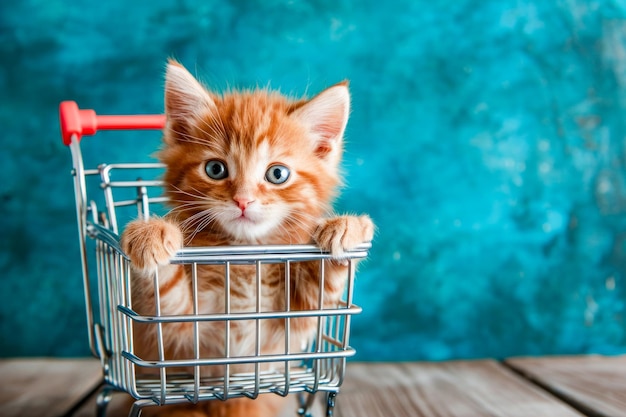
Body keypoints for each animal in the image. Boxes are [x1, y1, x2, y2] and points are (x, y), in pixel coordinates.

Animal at [120, 59, 372, 416]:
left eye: (277, 174)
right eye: (215, 169)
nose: (243, 200)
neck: (243, 259)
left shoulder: (287, 329)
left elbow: (322, 290)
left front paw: (347, 228)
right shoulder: (176, 337)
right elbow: (164, 297)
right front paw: (151, 233)